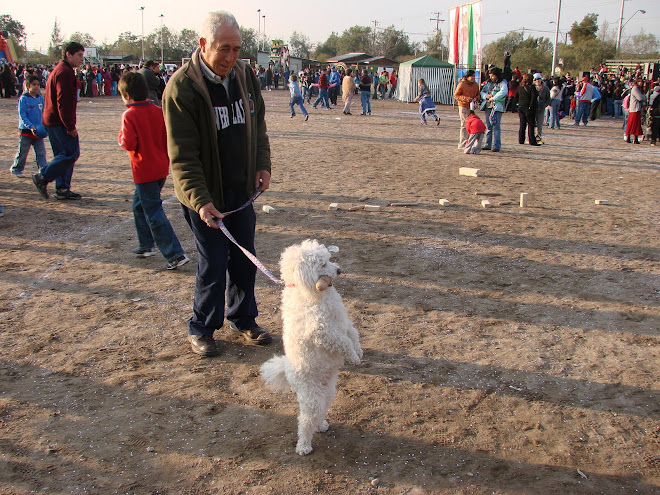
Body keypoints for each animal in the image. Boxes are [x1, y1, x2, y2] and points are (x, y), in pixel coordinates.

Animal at [260, 240, 360, 458]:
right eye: (322, 264)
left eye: (329, 259)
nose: (339, 270)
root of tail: (287, 372)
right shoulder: (323, 333)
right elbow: (345, 342)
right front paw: (354, 357)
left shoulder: (342, 321)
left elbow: (353, 334)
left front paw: (359, 351)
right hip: (311, 396)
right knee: (305, 421)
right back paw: (303, 446)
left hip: (327, 391)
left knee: (319, 412)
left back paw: (321, 425)